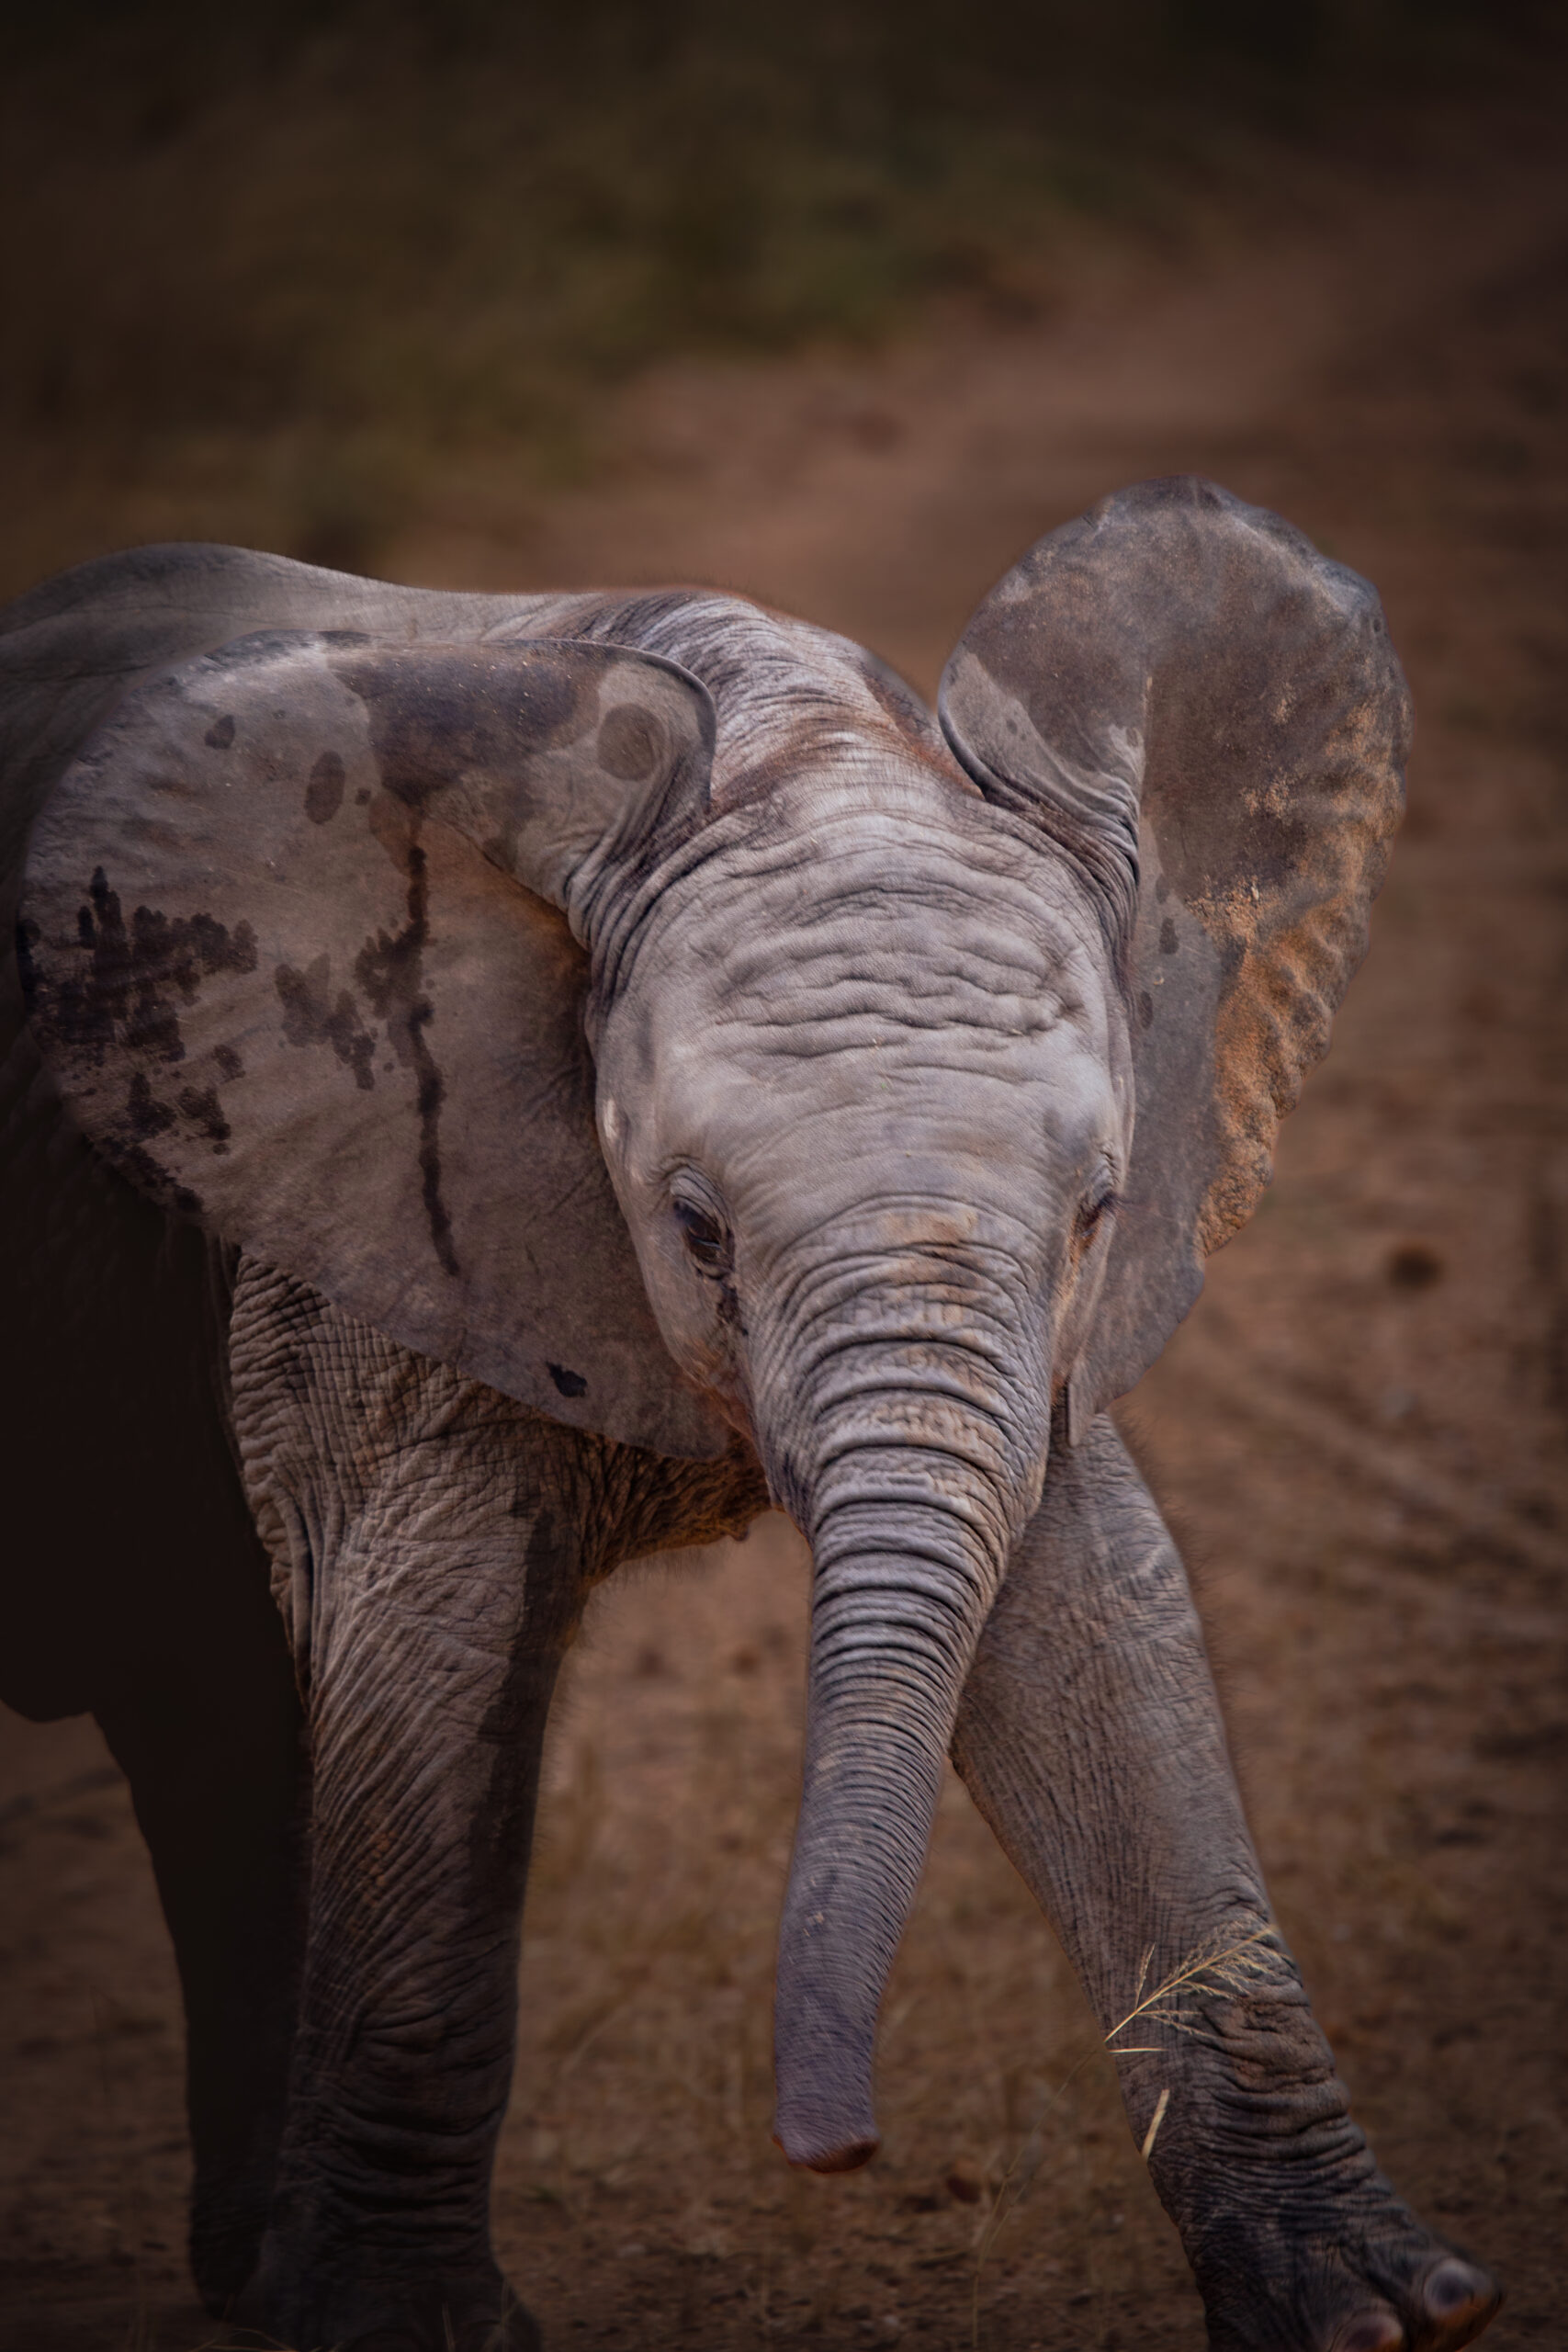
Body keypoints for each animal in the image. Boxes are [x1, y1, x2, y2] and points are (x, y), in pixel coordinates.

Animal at [0, 476, 1502, 2352]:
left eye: (1097, 1210)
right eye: (697, 1227)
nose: (838, 2150)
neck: (795, 747)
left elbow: (1097, 1622)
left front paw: (1384, 2314)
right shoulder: (362, 1209)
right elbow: (425, 1640)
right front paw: (408, 2335)